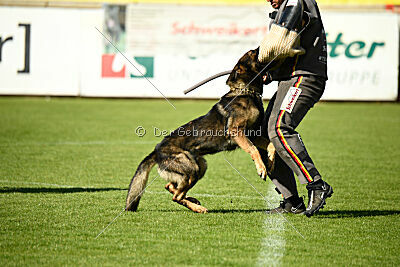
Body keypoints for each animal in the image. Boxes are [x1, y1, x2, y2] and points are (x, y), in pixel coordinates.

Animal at [126, 49, 276, 215]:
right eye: (252, 53)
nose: (261, 48)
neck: (245, 92)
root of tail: (157, 149)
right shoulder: (237, 132)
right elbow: (254, 150)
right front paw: (261, 168)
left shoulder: (252, 135)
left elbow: (270, 145)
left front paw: (270, 161)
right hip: (192, 168)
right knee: (176, 195)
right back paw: (197, 206)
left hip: (201, 166)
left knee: (171, 187)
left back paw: (193, 202)